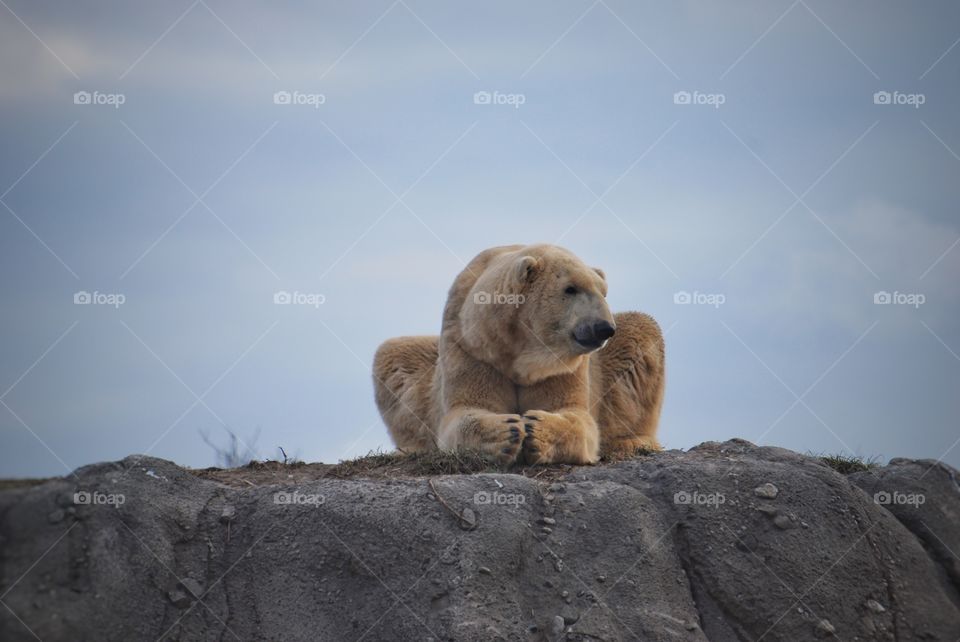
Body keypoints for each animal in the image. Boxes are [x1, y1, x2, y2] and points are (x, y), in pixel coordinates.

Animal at [372, 244, 665, 465]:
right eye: (570, 288)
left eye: (603, 292)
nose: (603, 327)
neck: (517, 351)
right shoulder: (471, 347)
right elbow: (464, 410)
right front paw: (506, 432)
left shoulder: (561, 366)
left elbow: (575, 413)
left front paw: (537, 429)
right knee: (393, 355)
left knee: (642, 332)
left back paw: (632, 441)